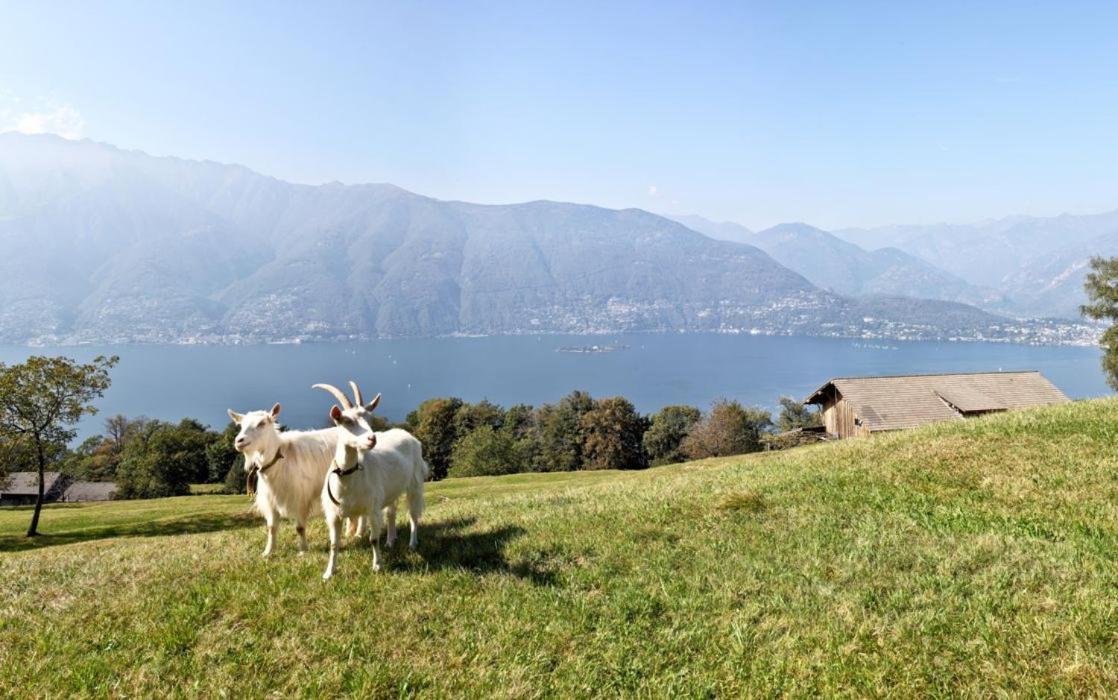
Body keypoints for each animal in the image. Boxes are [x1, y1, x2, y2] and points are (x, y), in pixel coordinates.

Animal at [324, 382, 431, 576]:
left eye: (369, 419)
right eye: (347, 421)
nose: (372, 439)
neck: (349, 478)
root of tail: (409, 436)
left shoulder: (372, 508)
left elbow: (373, 539)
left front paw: (377, 566)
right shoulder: (334, 514)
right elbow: (334, 544)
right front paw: (329, 573)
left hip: (414, 484)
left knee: (413, 515)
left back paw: (412, 544)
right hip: (391, 490)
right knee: (391, 512)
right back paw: (390, 541)